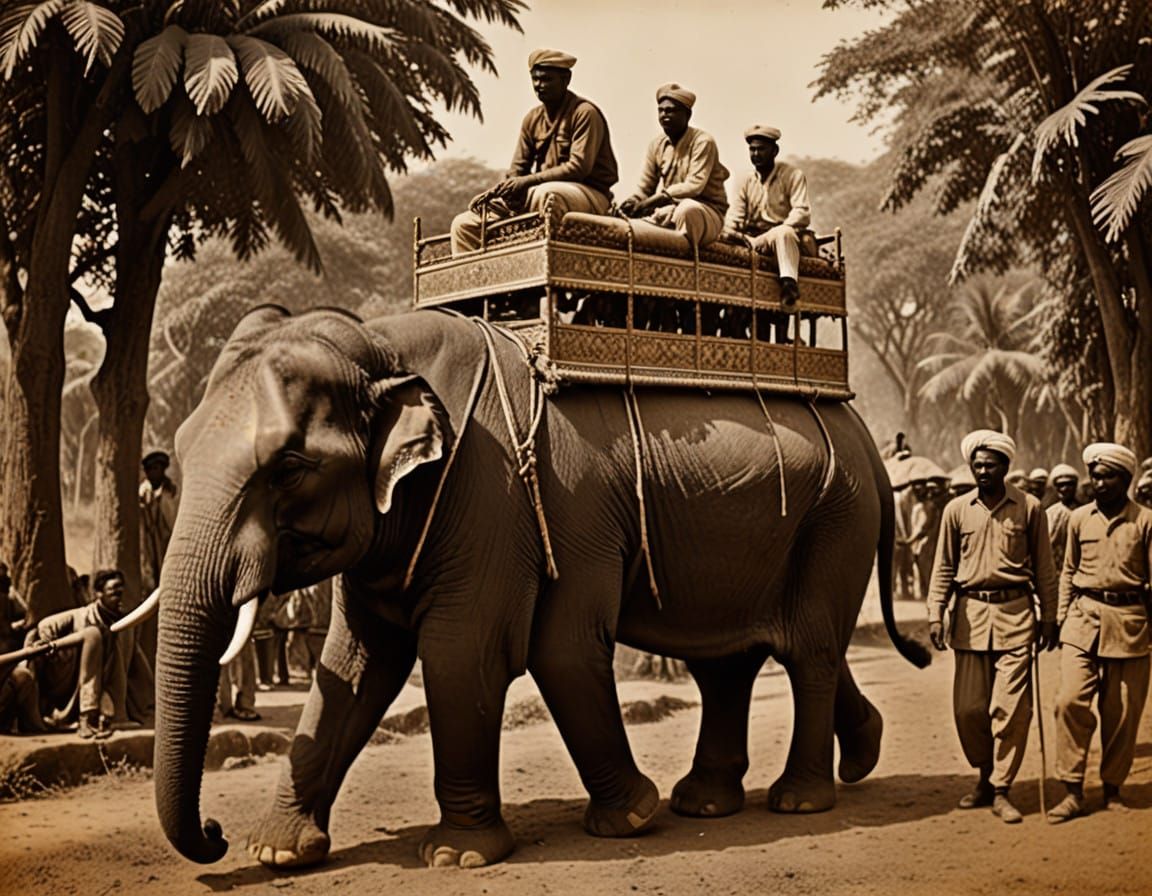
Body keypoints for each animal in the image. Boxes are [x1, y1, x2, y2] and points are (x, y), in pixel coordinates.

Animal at [146, 304, 928, 869]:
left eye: (288, 466)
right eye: (177, 452)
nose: (213, 833)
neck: (379, 343)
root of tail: (865, 433)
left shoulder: (503, 500)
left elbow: (480, 653)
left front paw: (468, 854)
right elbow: (356, 665)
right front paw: (278, 851)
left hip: (835, 522)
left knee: (807, 651)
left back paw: (798, 801)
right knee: (730, 659)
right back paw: (757, 786)